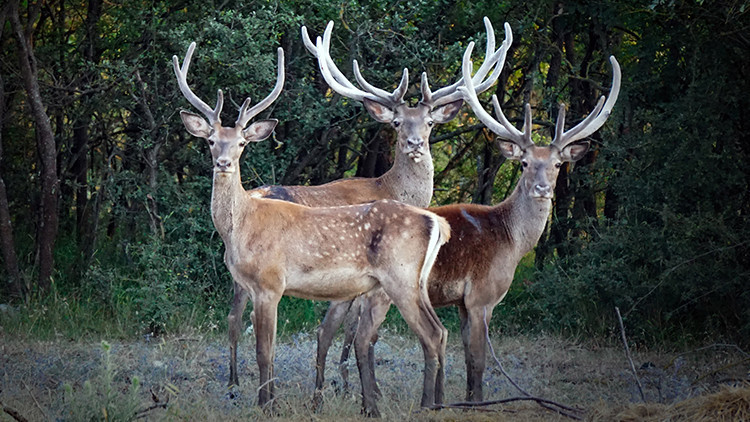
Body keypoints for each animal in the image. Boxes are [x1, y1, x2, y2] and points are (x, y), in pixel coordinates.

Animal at [173, 42, 453, 416]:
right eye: (210, 140)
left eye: (242, 143)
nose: (224, 163)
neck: (243, 226)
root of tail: (436, 221)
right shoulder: (251, 284)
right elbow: (265, 346)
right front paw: (268, 400)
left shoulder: (270, 283)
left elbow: (265, 351)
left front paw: (268, 404)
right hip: (413, 282)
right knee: (440, 331)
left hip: (400, 277)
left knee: (430, 333)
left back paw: (425, 404)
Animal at [218, 17, 511, 406]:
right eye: (398, 123)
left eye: (430, 122)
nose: (415, 144)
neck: (388, 187)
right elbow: (354, 334)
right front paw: (352, 390)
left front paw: (343, 389)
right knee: (239, 319)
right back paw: (238, 386)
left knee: (233, 318)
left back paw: (234, 383)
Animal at [315, 42, 621, 404]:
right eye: (524, 163)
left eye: (558, 163)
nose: (542, 189)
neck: (511, 239)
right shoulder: (481, 297)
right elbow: (477, 359)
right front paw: (474, 401)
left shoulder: (462, 303)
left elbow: (463, 353)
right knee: (355, 336)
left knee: (329, 331)